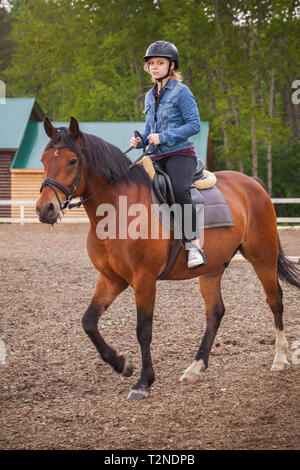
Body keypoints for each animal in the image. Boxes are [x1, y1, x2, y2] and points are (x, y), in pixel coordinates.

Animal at [36, 117, 298, 400]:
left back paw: (280, 359)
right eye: (43, 159)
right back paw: (195, 368)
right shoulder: (112, 278)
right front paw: (122, 365)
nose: (44, 209)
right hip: (212, 270)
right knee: (215, 313)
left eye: (72, 161)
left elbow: (143, 330)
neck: (118, 211)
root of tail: (252, 183)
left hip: (263, 257)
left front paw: (143, 382)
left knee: (275, 300)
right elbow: (89, 321)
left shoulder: (144, 280)